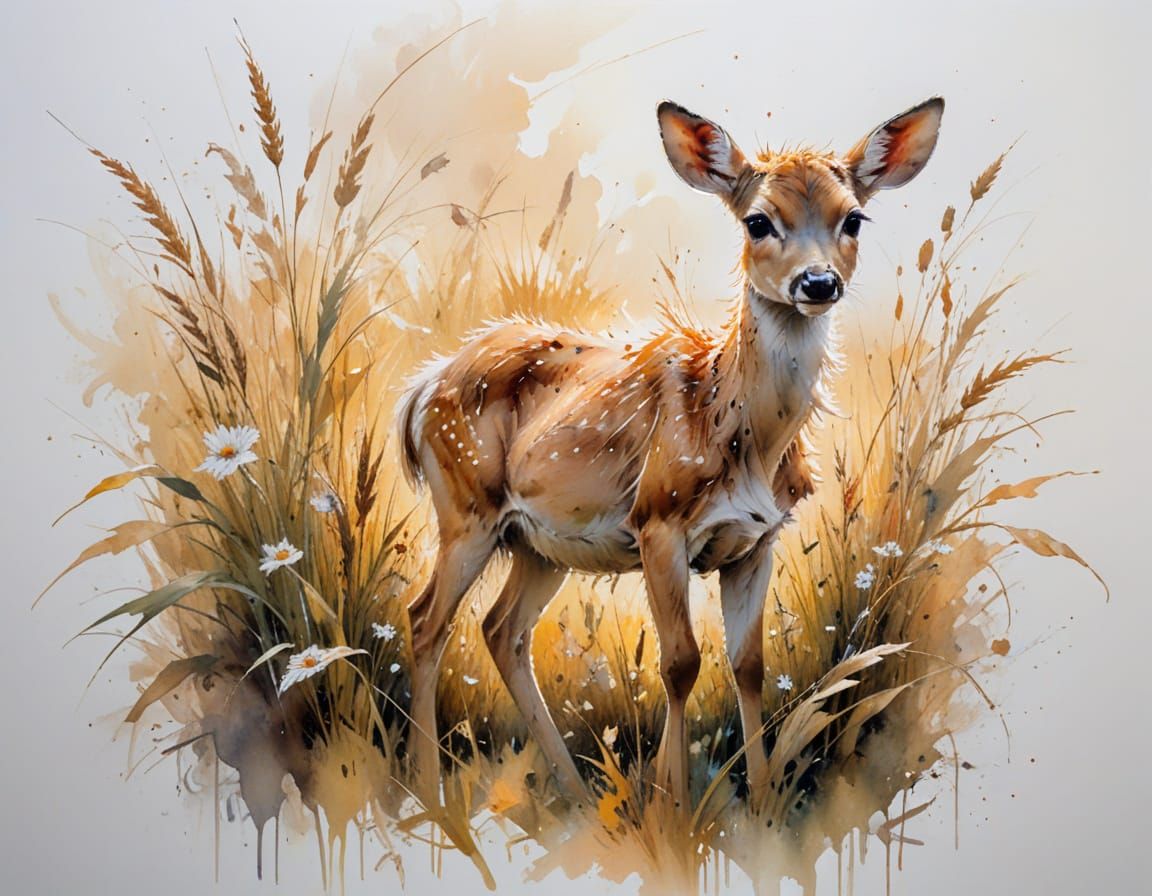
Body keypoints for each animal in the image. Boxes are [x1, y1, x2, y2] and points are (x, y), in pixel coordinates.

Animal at [397, 97, 944, 811]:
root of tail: (423, 385)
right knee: (426, 621)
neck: (743, 435)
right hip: (467, 507)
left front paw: (760, 804)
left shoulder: (758, 540)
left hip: (540, 544)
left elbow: (748, 665)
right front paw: (673, 808)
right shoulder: (657, 521)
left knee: (500, 629)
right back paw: (429, 792)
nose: (818, 281)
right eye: (758, 221)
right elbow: (680, 662)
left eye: (852, 218)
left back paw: (575, 793)